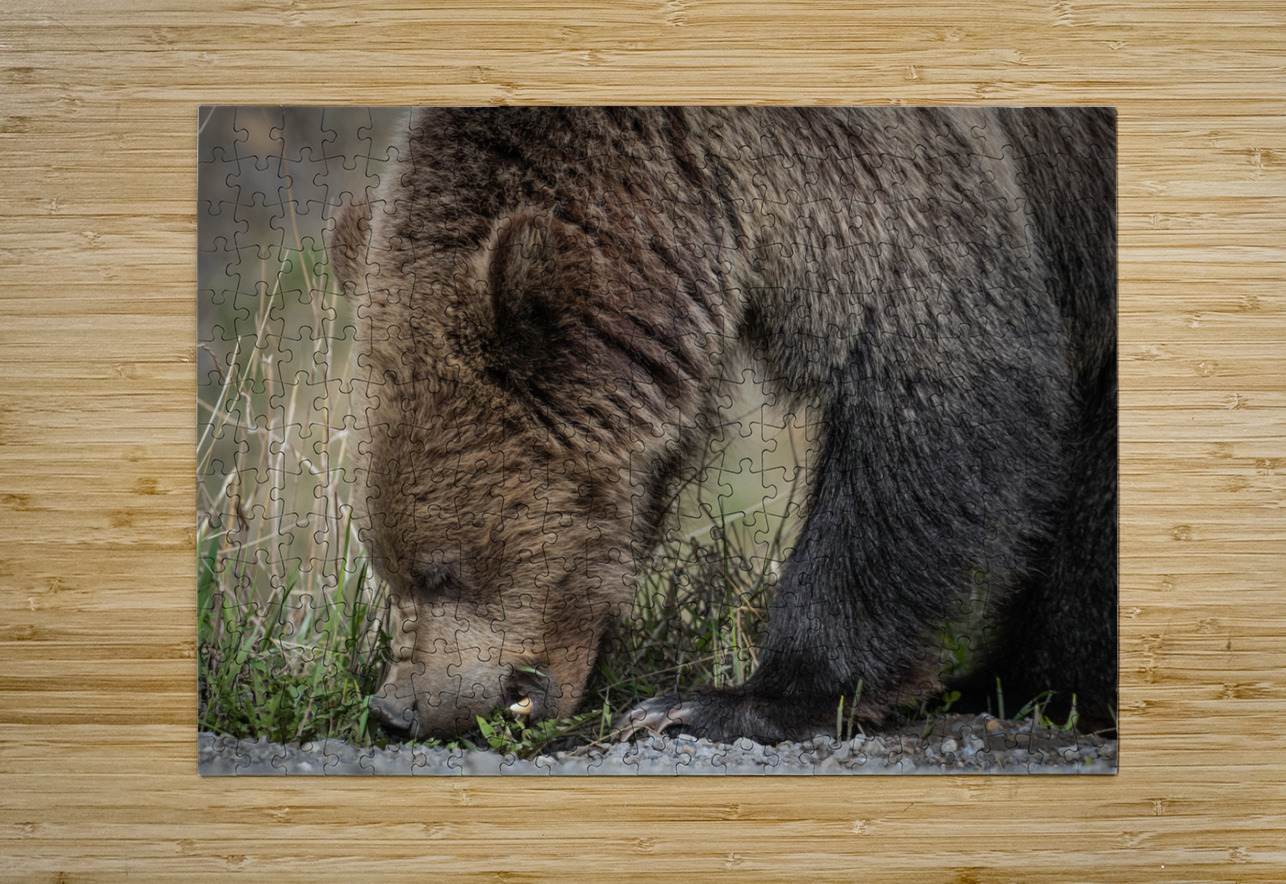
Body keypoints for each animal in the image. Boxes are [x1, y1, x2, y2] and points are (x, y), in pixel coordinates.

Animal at [328, 106, 1117, 744]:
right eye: (385, 563)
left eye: (442, 571)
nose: (397, 710)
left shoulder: (870, 168)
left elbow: (936, 381)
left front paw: (731, 701)